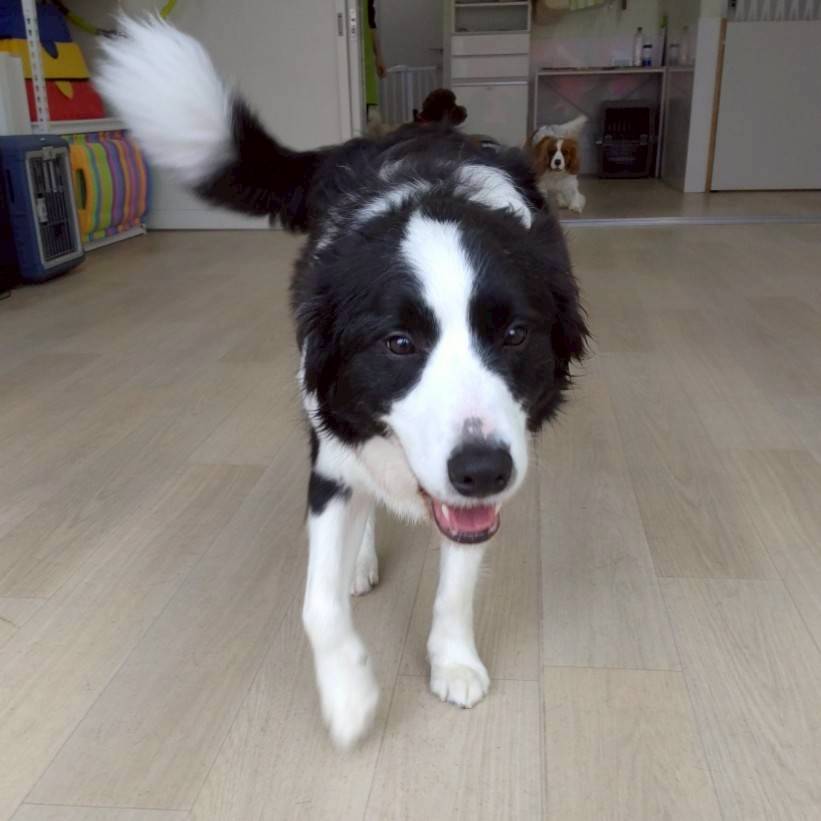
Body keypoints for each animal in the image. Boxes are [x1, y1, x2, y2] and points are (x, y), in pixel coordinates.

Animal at [98, 17, 588, 749]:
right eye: (398, 344)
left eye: (513, 335)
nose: (482, 471)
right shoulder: (331, 449)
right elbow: (317, 603)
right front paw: (350, 695)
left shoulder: (476, 492)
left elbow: (457, 578)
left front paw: (453, 661)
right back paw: (359, 560)